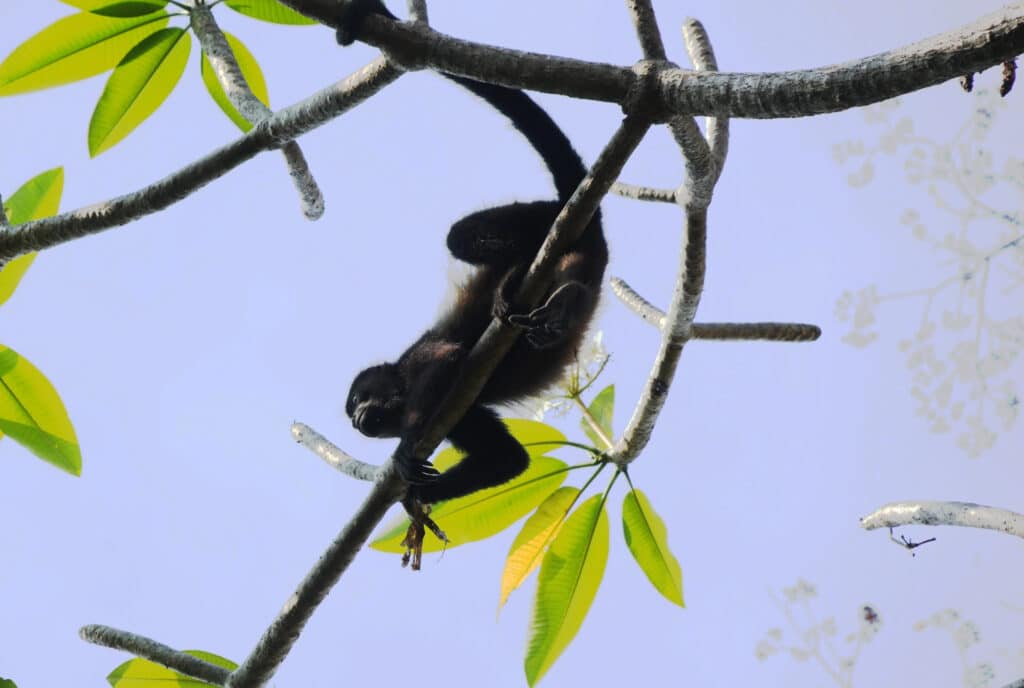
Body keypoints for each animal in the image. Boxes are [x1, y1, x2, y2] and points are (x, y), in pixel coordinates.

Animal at [338, 0, 607, 504]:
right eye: (352, 413)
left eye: (360, 399)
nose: (359, 420)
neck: (398, 385)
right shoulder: (463, 416)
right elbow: (507, 460)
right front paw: (415, 498)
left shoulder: (420, 363)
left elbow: (445, 356)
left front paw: (403, 447)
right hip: (583, 249)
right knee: (577, 272)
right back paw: (565, 302)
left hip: (537, 216)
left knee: (461, 237)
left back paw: (518, 281)